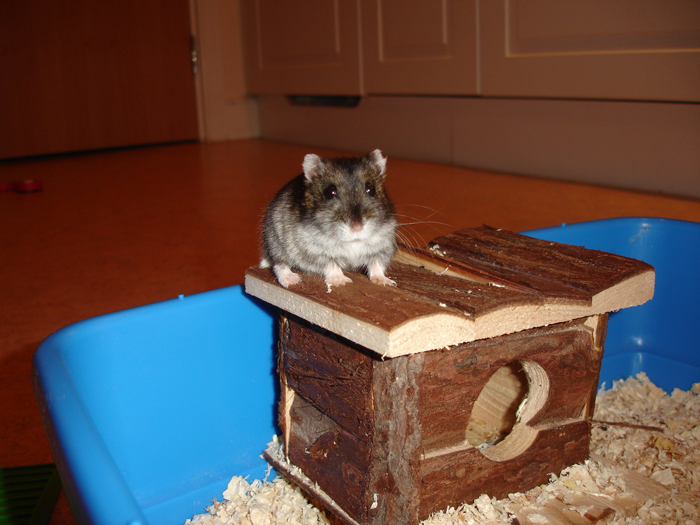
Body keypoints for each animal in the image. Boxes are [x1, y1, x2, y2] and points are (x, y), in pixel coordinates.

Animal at [261, 149, 397, 289]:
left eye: (371, 189)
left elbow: (376, 265)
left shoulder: (382, 247)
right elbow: (332, 265)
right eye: (329, 192)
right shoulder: (316, 251)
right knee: (279, 264)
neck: (353, 241)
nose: (357, 228)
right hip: (276, 245)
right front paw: (340, 281)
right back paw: (292, 280)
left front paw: (386, 282)